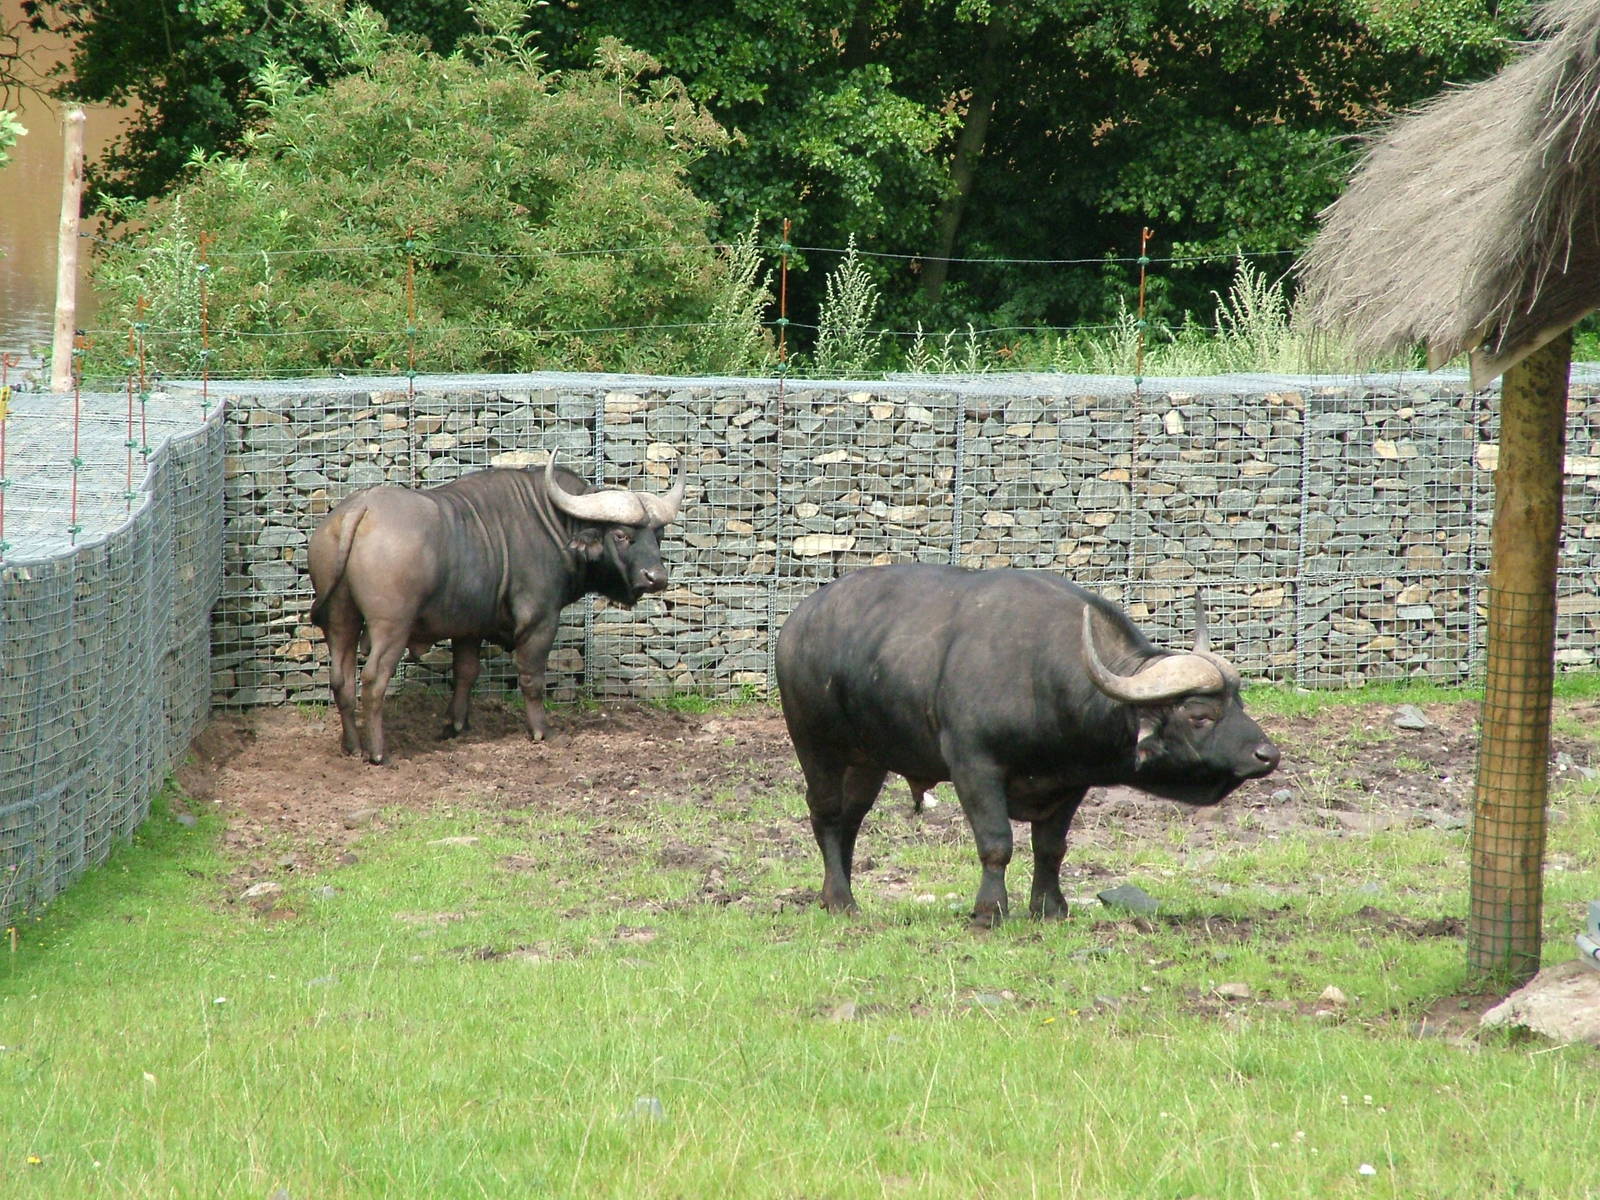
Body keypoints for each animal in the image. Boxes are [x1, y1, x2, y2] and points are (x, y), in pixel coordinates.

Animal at [308, 455, 685, 764]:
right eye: (621, 535)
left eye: (658, 535)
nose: (656, 577)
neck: (555, 526)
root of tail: (360, 509)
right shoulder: (539, 622)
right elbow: (532, 679)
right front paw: (541, 731)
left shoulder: (467, 628)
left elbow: (466, 672)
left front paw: (456, 725)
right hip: (391, 626)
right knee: (373, 679)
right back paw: (377, 752)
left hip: (340, 621)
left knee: (341, 679)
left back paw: (352, 746)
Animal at [775, 564, 1279, 924]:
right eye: (1199, 715)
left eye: (1238, 701)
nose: (1267, 755)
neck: (1044, 679)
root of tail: (797, 624)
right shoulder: (974, 767)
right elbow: (997, 842)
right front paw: (989, 910)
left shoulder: (1070, 782)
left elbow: (1051, 847)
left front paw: (1050, 908)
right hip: (817, 747)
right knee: (826, 815)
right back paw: (840, 900)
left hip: (867, 761)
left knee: (852, 820)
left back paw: (837, 895)